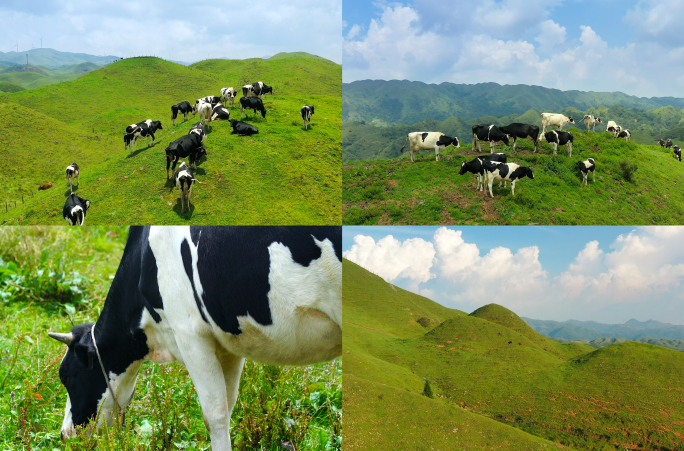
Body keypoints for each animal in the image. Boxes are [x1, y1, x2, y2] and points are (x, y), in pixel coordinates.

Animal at [46, 228, 340, 450]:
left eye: (66, 376)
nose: (65, 434)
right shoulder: (228, 343)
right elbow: (228, 407)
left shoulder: (190, 335)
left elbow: (214, 416)